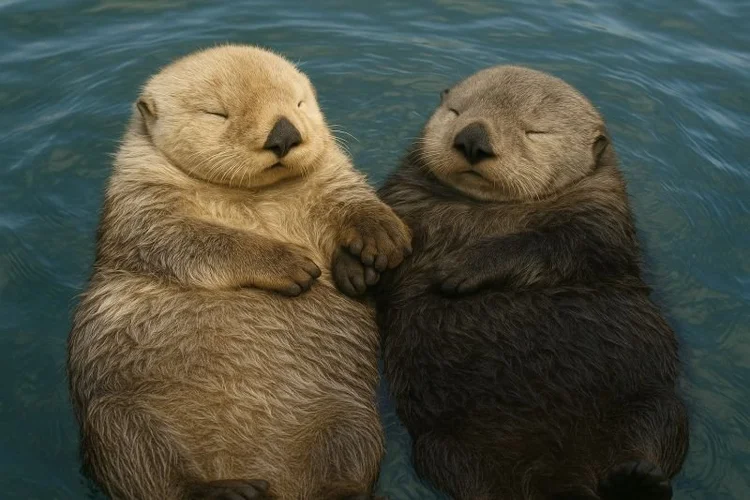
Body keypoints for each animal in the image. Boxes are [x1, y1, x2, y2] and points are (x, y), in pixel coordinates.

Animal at [68, 45, 411, 500]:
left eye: (298, 103)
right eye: (218, 113)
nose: (284, 134)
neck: (253, 197)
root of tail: (263, 475)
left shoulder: (332, 175)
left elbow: (352, 199)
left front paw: (373, 248)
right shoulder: (139, 202)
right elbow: (187, 239)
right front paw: (292, 264)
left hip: (349, 421)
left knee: (349, 466)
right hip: (116, 421)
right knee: (151, 475)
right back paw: (225, 491)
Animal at [375, 66, 689, 500]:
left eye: (534, 132)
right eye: (456, 111)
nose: (473, 139)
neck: (484, 212)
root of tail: (562, 473)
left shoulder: (602, 220)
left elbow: (556, 245)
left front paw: (460, 268)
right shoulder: (403, 201)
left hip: (656, 406)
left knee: (658, 440)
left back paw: (637, 481)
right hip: (449, 447)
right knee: (478, 480)